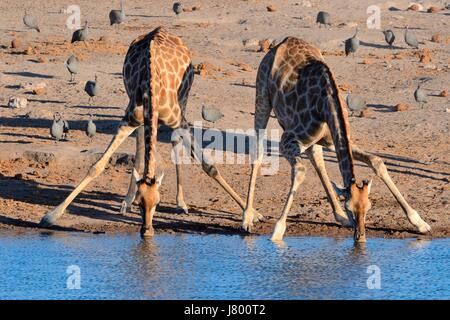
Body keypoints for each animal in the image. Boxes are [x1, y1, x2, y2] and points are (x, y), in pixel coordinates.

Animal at [39, 27, 256, 236]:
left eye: (158, 202)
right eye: (140, 203)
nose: (147, 231)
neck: (152, 87)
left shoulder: (180, 122)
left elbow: (209, 166)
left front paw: (252, 215)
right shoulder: (128, 120)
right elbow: (97, 166)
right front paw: (51, 216)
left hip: (184, 100)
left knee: (175, 144)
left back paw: (181, 203)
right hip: (141, 118)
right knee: (140, 146)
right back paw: (126, 202)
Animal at [243, 37, 432, 242]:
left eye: (369, 207)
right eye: (350, 206)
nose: (360, 237)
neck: (327, 104)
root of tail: (279, 44)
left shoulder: (334, 140)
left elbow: (376, 161)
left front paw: (419, 222)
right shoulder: (287, 140)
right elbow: (300, 170)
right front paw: (277, 232)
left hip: (313, 139)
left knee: (317, 159)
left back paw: (339, 216)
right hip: (262, 96)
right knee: (258, 152)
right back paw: (247, 218)